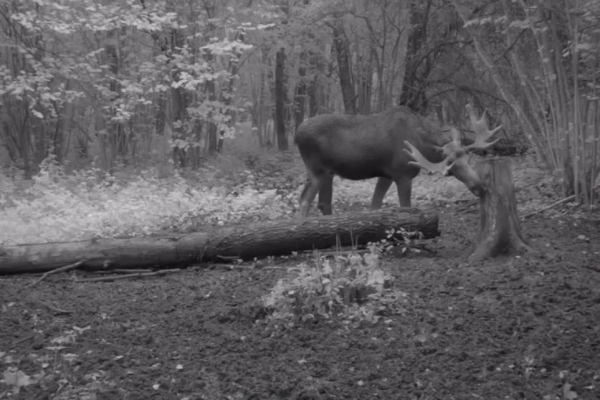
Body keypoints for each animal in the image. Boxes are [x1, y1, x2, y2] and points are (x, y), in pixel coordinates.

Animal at [296, 103, 502, 216]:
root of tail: (295, 135)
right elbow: (405, 206)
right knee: (305, 200)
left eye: (467, 158)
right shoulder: (402, 174)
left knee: (322, 203)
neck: (421, 146)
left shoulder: (386, 174)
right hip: (316, 169)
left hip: (327, 173)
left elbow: (375, 204)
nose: (480, 187)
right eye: (450, 168)